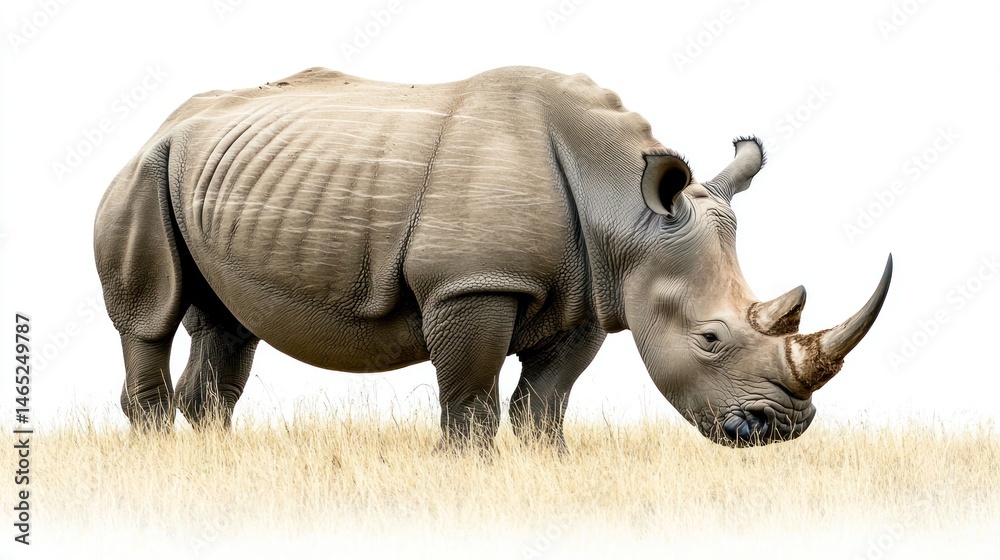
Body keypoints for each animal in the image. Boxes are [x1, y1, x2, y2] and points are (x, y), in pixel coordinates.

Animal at [94, 66, 891, 447]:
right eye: (710, 339)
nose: (781, 431)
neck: (624, 210)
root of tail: (163, 123)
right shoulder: (470, 285)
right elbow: (470, 396)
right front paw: (467, 472)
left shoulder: (587, 296)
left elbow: (546, 400)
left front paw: (546, 466)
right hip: (144, 171)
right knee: (151, 317)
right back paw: (161, 453)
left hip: (213, 174)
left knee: (228, 326)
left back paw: (214, 455)